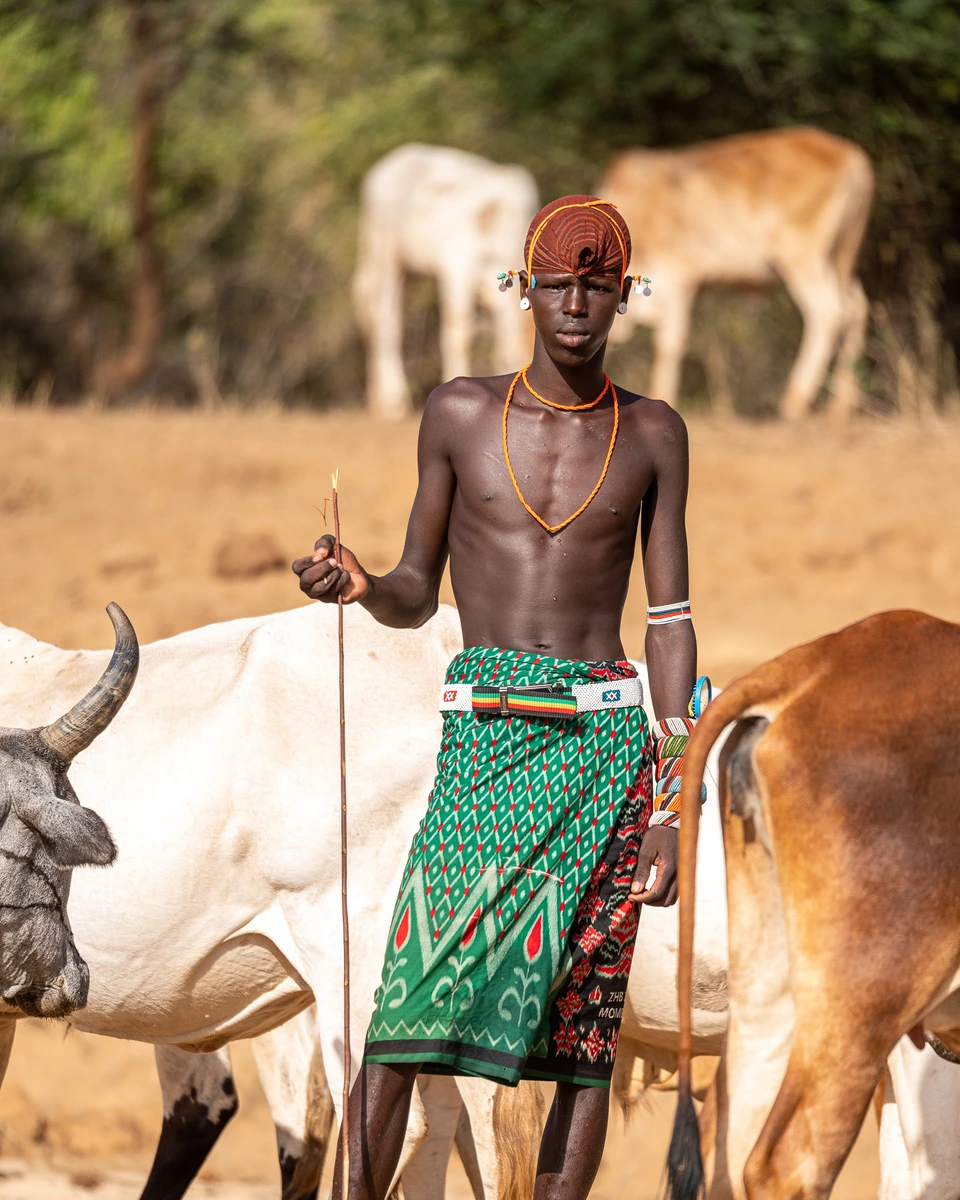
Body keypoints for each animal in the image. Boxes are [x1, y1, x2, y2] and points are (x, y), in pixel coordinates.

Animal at [597, 127, 874, 420]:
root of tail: (851, 156)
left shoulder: (679, 278)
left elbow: (668, 344)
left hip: (803, 258)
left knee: (828, 311)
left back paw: (795, 401)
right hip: (841, 259)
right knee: (855, 308)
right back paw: (840, 407)